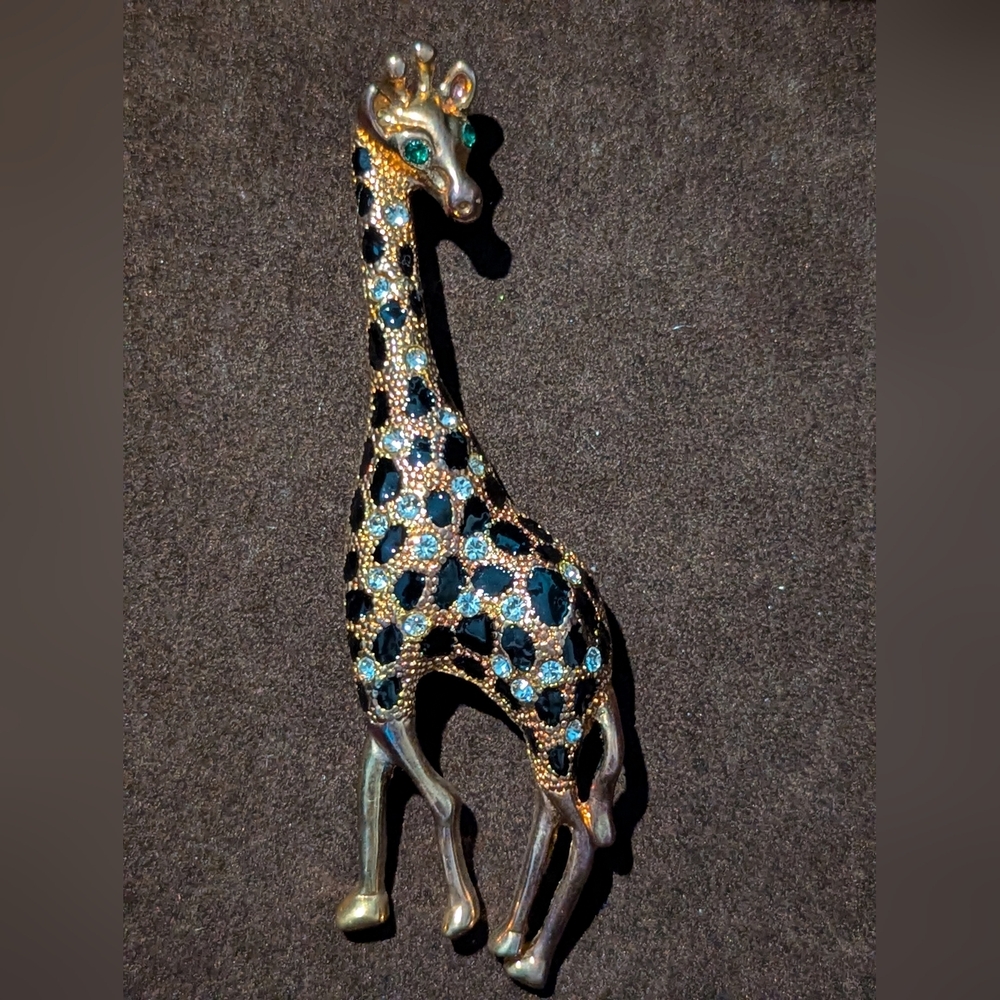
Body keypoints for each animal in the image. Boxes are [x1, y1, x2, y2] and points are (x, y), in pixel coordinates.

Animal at [335, 41, 624, 989]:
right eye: (416, 147)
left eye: (467, 139)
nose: (466, 206)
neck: (408, 431)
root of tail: (604, 662)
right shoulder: (385, 675)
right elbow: (378, 783)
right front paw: (367, 909)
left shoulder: (380, 669)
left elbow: (445, 798)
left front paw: (458, 916)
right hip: (555, 728)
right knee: (567, 822)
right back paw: (513, 944)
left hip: (550, 719)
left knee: (589, 835)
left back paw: (527, 962)